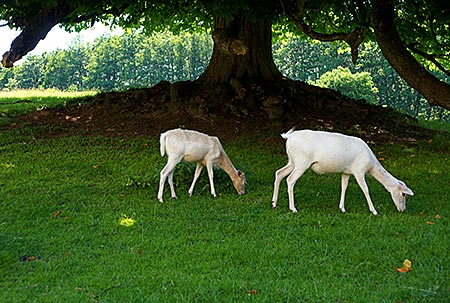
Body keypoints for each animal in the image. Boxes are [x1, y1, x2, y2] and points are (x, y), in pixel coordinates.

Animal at [270, 129, 414, 215]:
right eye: (404, 195)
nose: (403, 210)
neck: (371, 165)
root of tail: (288, 137)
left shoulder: (347, 172)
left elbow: (344, 187)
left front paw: (342, 208)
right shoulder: (359, 170)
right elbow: (366, 189)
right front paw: (374, 211)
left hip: (292, 161)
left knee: (279, 173)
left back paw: (274, 203)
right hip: (301, 162)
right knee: (290, 180)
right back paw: (293, 208)